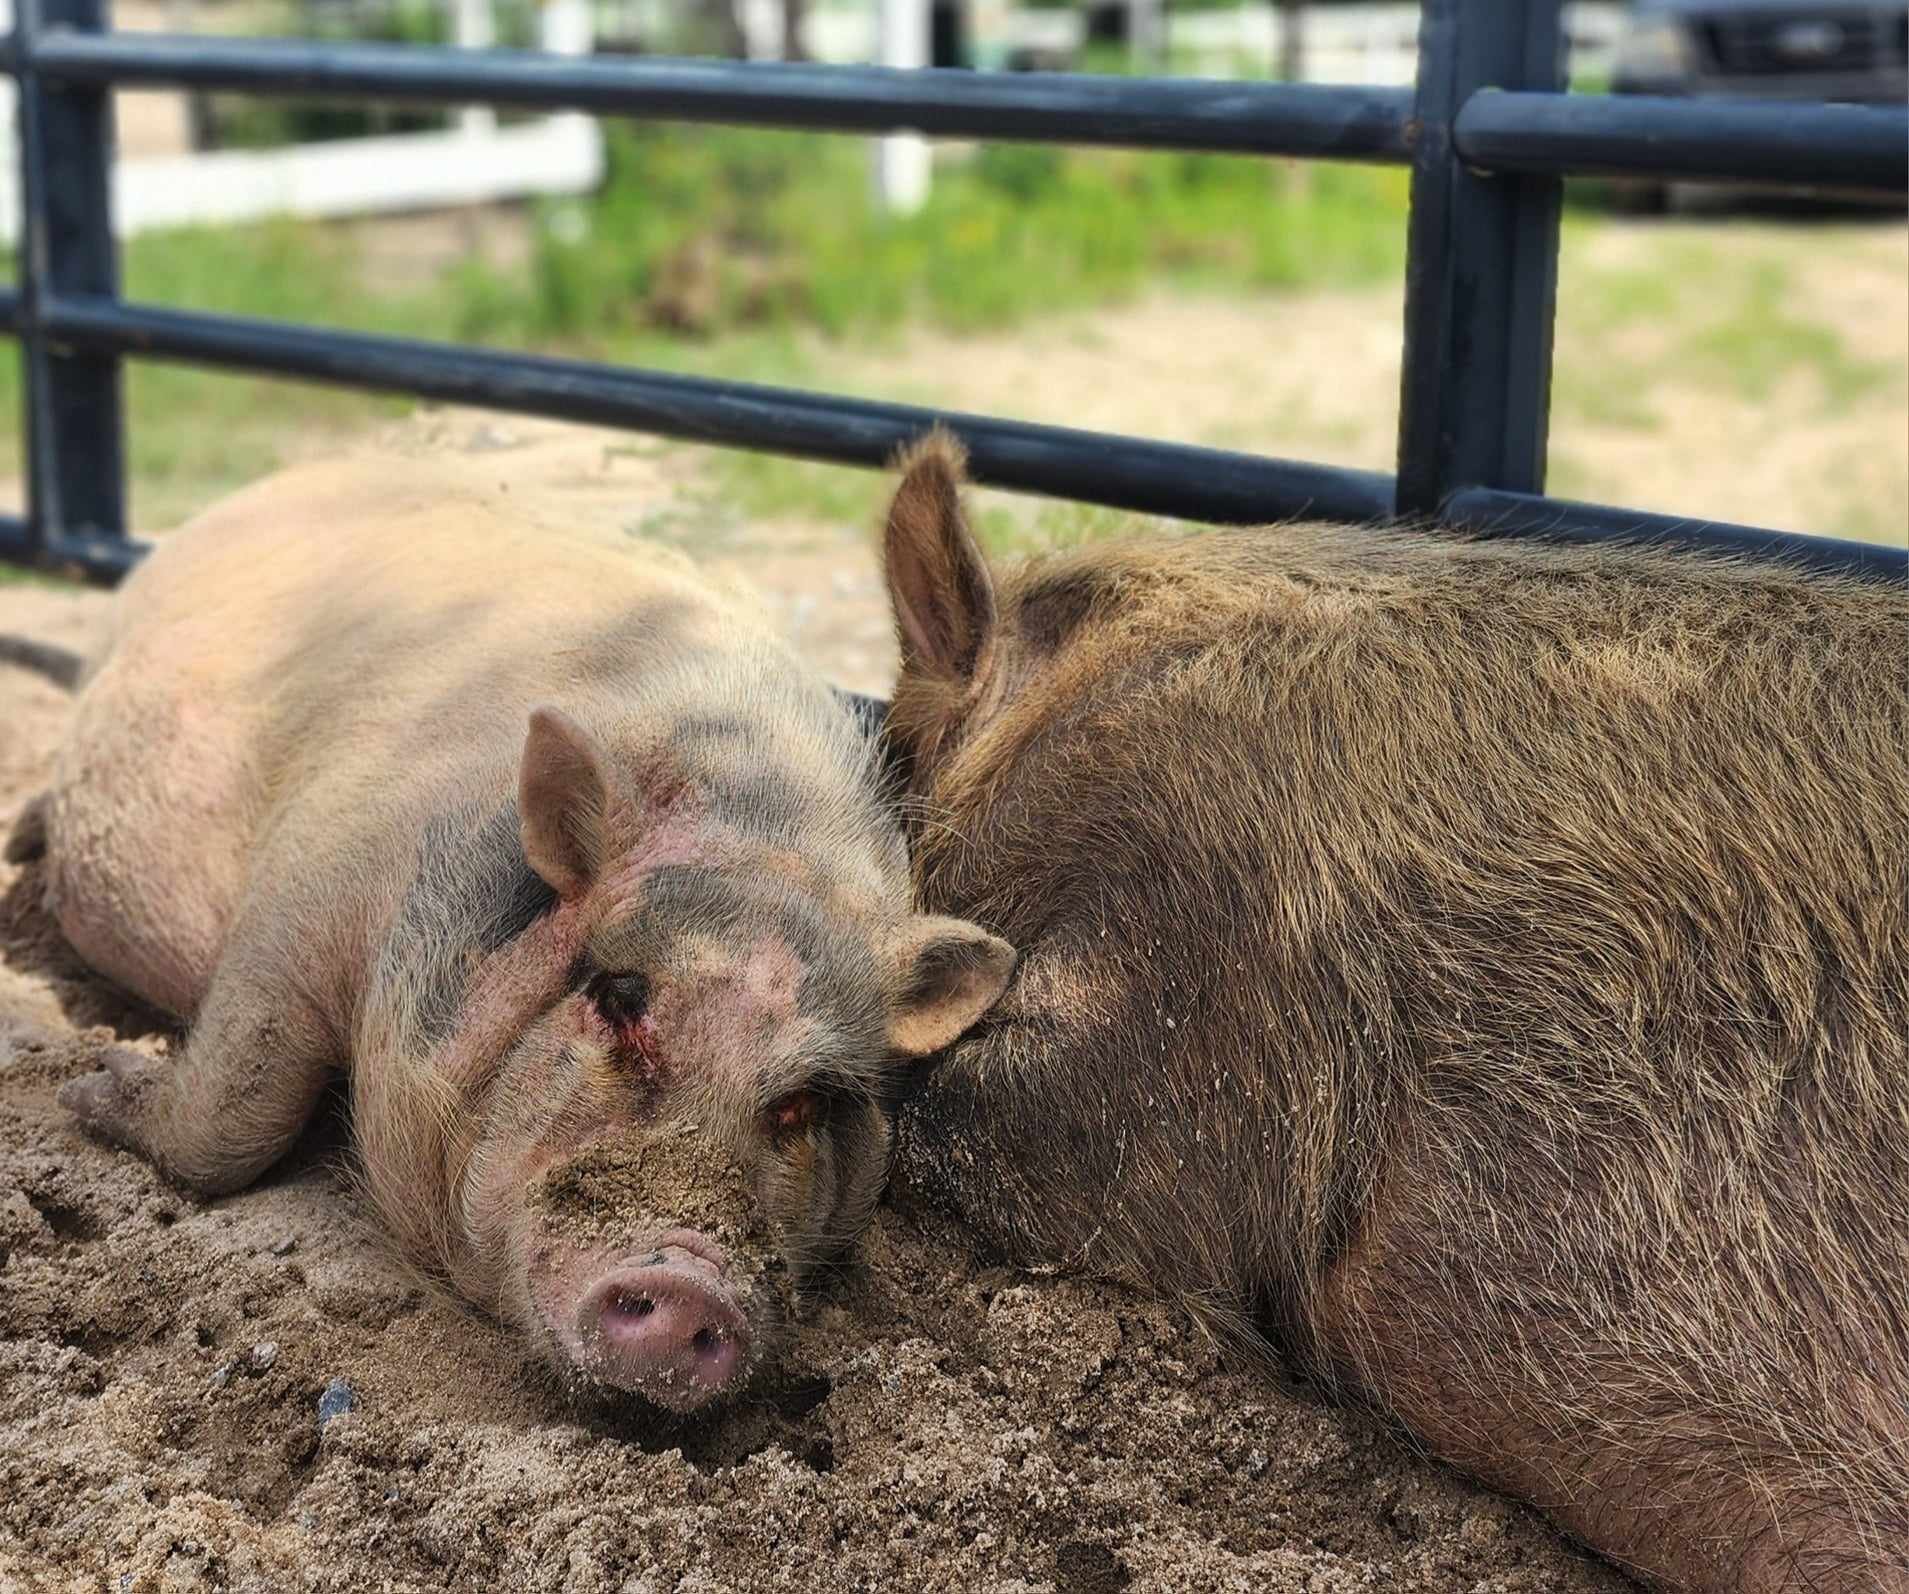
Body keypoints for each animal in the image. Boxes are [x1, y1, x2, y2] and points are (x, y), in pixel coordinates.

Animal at [36, 454, 1014, 1414]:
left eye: (804, 1100)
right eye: (618, 998)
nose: (691, 1280)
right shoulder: (308, 889)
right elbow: (242, 1103)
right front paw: (92, 1084)